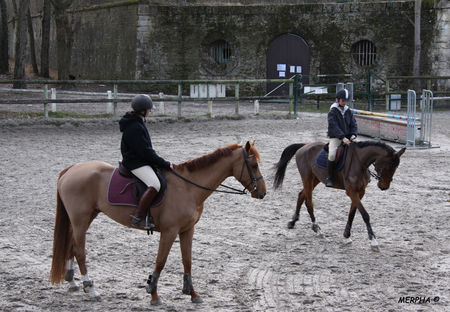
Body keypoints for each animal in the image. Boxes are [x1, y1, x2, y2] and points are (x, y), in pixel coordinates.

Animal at [50, 141, 266, 304]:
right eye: (254, 166)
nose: (263, 192)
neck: (188, 187)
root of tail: (71, 169)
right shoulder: (170, 231)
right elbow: (160, 261)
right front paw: (153, 294)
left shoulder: (187, 230)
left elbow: (187, 260)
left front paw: (193, 294)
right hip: (81, 219)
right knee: (80, 251)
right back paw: (92, 289)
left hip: (84, 218)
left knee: (71, 246)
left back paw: (73, 282)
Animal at [272, 141, 406, 251]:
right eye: (388, 166)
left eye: (396, 168)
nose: (384, 186)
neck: (360, 163)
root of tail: (304, 146)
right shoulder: (351, 191)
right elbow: (365, 214)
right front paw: (373, 241)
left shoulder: (360, 192)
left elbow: (352, 213)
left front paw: (347, 236)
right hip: (307, 178)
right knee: (309, 201)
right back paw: (317, 228)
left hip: (315, 179)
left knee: (301, 195)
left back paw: (293, 221)